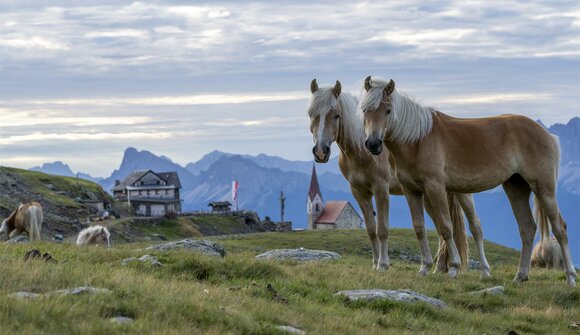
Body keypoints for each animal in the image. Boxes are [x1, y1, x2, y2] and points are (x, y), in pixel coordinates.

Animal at [306, 80, 492, 276]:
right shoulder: (359, 192)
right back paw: (440, 268)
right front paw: (375, 263)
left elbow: (382, 229)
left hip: (460, 193)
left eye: (336, 115)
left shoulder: (381, 189)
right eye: (311, 113)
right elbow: (371, 229)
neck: (361, 150)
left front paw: (383, 264)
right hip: (428, 196)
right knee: (441, 230)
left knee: (473, 225)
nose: (320, 152)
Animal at [362, 75, 576, 288]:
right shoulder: (411, 190)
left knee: (560, 229)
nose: (373, 144)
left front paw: (454, 268)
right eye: (365, 110)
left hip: (544, 189)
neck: (417, 140)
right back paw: (520, 276)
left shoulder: (435, 187)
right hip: (516, 188)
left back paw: (570, 278)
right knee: (527, 228)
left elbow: (446, 227)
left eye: (388, 110)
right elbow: (419, 227)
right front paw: (424, 268)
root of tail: (546, 134)